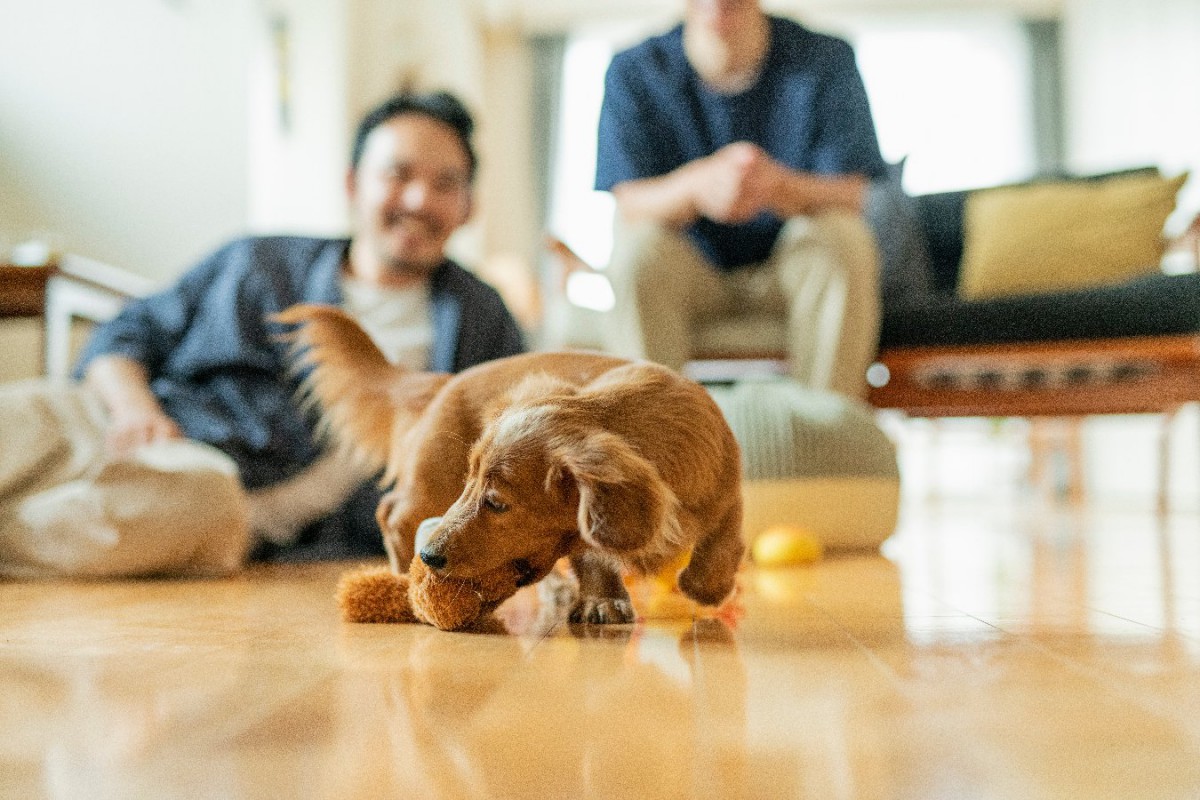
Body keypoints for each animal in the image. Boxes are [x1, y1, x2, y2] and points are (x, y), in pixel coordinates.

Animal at [274, 303, 739, 623]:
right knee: (392, 513)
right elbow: (594, 556)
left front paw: (708, 588)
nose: (429, 556)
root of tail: (446, 381)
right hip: (431, 485)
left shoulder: (726, 489)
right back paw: (403, 576)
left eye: (496, 503)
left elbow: (724, 541)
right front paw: (603, 599)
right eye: (471, 488)